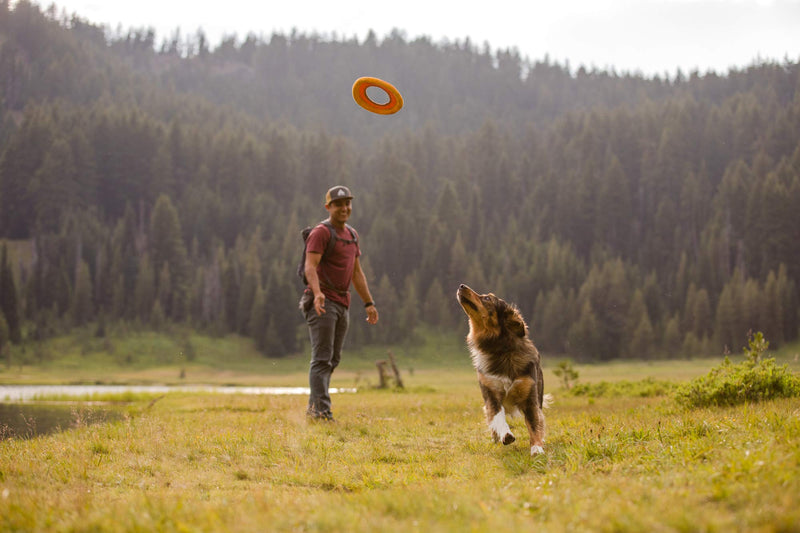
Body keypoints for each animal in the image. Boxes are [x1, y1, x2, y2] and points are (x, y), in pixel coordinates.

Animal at [460, 284, 548, 456]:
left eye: (487, 298)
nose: (461, 286)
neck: (500, 350)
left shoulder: (530, 398)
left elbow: (534, 424)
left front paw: (537, 448)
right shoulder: (491, 394)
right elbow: (498, 417)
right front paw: (506, 435)